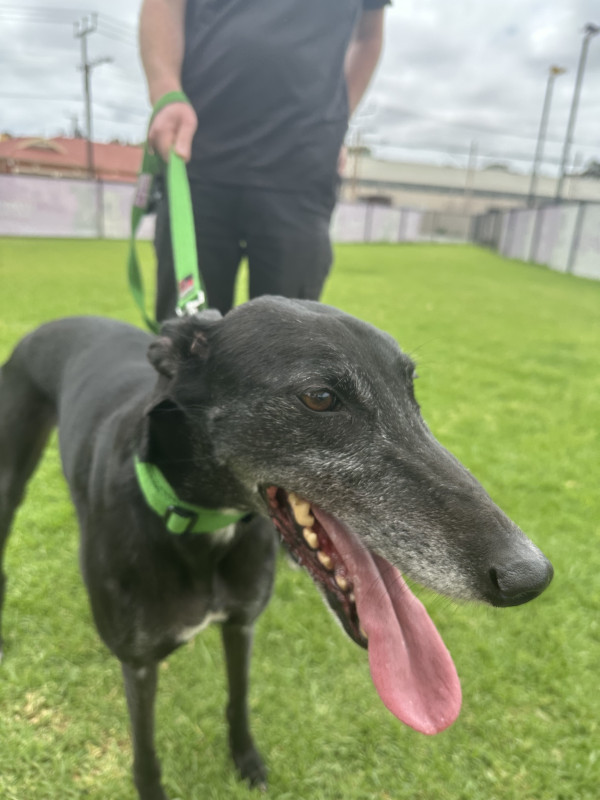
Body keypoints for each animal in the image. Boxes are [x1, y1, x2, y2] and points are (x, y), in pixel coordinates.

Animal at [0, 297, 553, 800]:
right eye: (320, 397)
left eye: (411, 390)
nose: (530, 575)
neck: (201, 526)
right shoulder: (138, 664)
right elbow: (146, 752)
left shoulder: (241, 624)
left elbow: (238, 699)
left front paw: (246, 760)